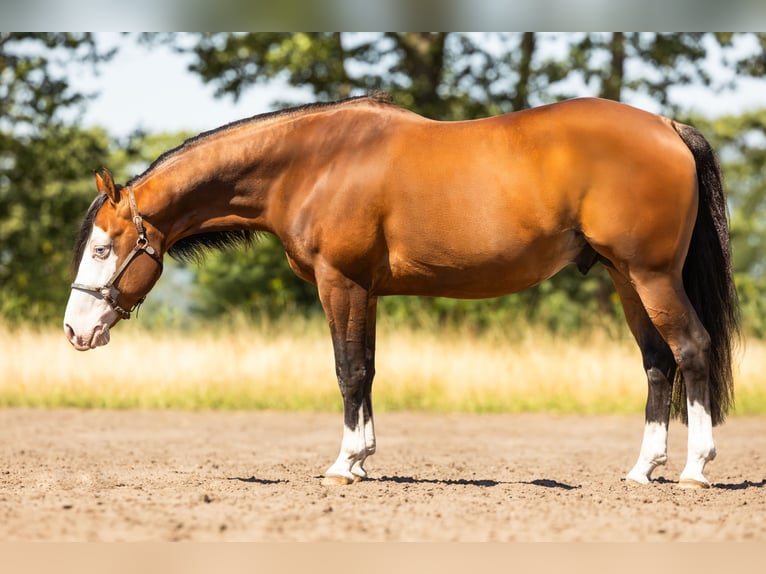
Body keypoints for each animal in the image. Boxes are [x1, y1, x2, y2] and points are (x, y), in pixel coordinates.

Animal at [63, 93, 739, 488]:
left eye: (102, 249)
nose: (75, 331)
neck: (313, 165)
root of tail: (669, 127)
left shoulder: (341, 282)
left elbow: (348, 370)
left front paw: (343, 465)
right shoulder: (365, 290)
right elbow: (366, 369)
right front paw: (363, 457)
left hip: (651, 275)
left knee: (693, 350)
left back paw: (695, 470)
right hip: (626, 278)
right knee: (657, 363)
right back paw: (642, 470)